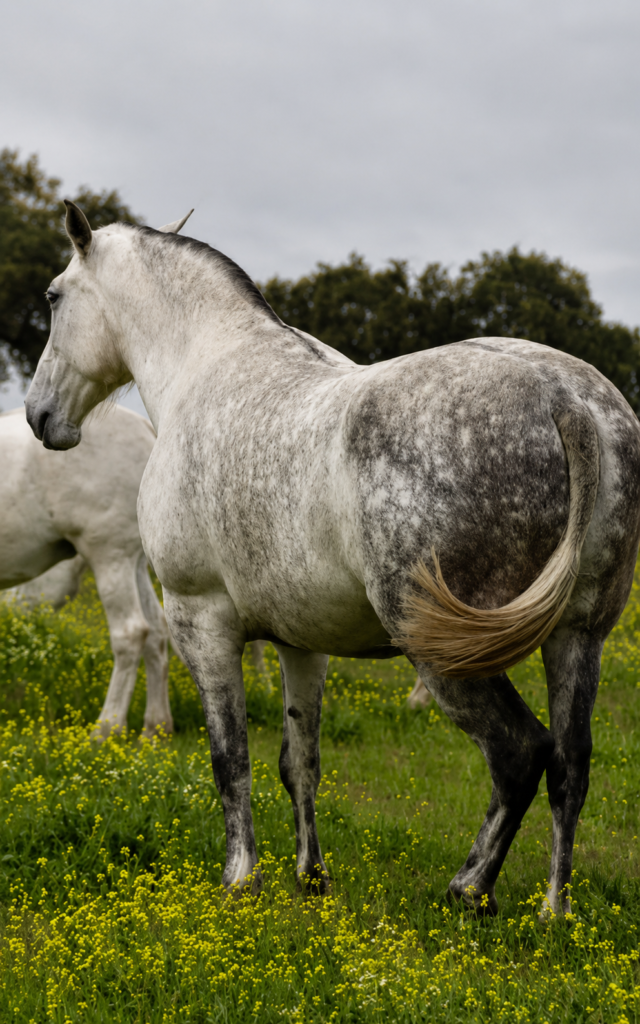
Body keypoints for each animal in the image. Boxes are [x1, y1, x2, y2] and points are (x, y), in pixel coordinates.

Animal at [0, 405, 172, 739]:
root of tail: (142, 426)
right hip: (132, 563)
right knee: (156, 631)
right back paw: (155, 729)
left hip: (110, 557)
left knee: (132, 633)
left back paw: (107, 728)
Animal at [25, 199, 640, 916]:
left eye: (53, 296)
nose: (39, 416)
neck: (206, 368)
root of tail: (564, 398)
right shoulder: (301, 643)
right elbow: (300, 764)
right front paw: (310, 877)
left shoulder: (200, 621)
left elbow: (230, 759)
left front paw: (241, 879)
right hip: (578, 638)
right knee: (570, 765)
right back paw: (552, 912)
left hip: (443, 653)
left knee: (520, 753)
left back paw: (468, 890)